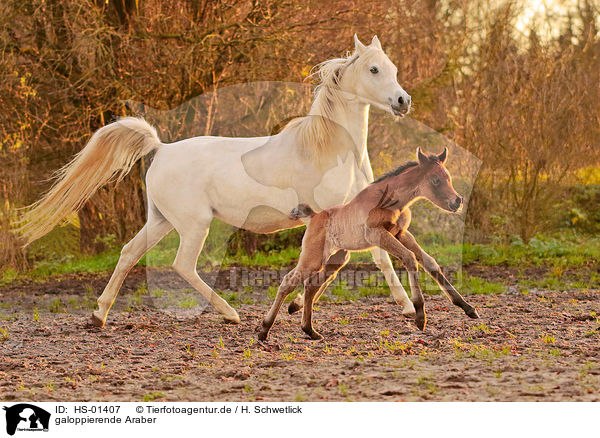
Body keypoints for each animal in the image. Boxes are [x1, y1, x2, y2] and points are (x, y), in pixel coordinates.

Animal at [17, 36, 412, 326]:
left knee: (129, 253)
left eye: (392, 68)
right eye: (374, 69)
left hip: (160, 220)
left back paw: (99, 315)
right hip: (194, 224)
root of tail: (161, 149)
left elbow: (373, 257)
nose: (402, 100)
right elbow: (341, 262)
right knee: (182, 265)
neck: (331, 150)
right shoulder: (329, 217)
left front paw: (404, 306)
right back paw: (230, 313)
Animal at [258, 148, 478, 342]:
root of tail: (313, 217)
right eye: (435, 180)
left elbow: (430, 263)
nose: (457, 202)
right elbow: (409, 259)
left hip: (337, 259)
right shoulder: (377, 235)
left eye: (448, 177)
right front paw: (420, 317)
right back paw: (264, 330)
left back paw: (310, 331)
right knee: (288, 282)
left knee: (311, 286)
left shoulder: (401, 233)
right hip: (313, 258)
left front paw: (468, 308)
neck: (392, 202)